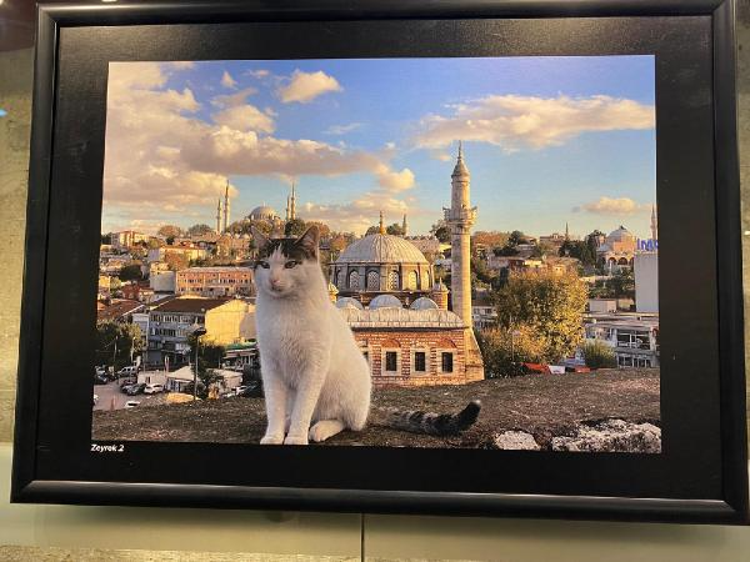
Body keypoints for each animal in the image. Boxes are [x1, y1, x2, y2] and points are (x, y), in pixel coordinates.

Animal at [253, 225, 482, 444]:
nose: (273, 280)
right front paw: (275, 434)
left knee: (344, 420)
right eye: (265, 265)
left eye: (290, 264)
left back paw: (319, 428)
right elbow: (276, 403)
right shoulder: (272, 362)